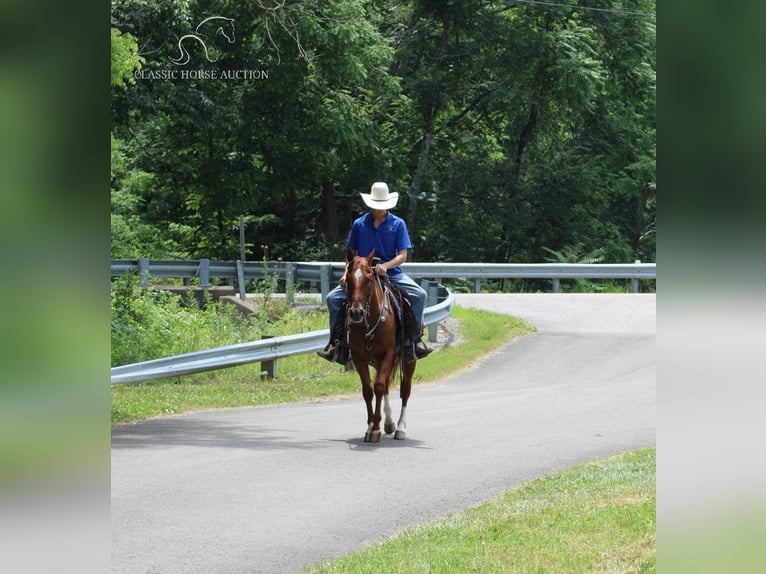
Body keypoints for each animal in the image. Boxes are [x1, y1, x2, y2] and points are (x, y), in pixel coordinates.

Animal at [344, 250, 416, 444]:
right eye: (348, 279)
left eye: (369, 279)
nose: (356, 313)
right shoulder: (358, 357)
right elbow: (368, 390)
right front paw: (370, 426)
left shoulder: (387, 353)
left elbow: (379, 387)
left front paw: (376, 428)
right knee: (386, 386)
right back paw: (389, 422)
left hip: (407, 360)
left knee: (405, 389)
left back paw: (400, 427)